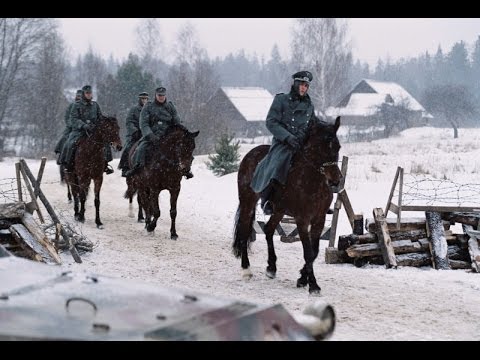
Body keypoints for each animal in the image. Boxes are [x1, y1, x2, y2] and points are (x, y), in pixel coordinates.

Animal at [232, 116, 342, 294]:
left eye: (338, 146)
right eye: (319, 148)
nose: (335, 180)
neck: (313, 181)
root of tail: (250, 154)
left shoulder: (319, 219)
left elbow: (315, 251)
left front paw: (302, 278)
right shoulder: (302, 220)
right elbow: (308, 252)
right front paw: (313, 285)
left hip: (279, 210)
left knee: (269, 229)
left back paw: (271, 268)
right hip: (248, 202)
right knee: (243, 232)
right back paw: (246, 270)